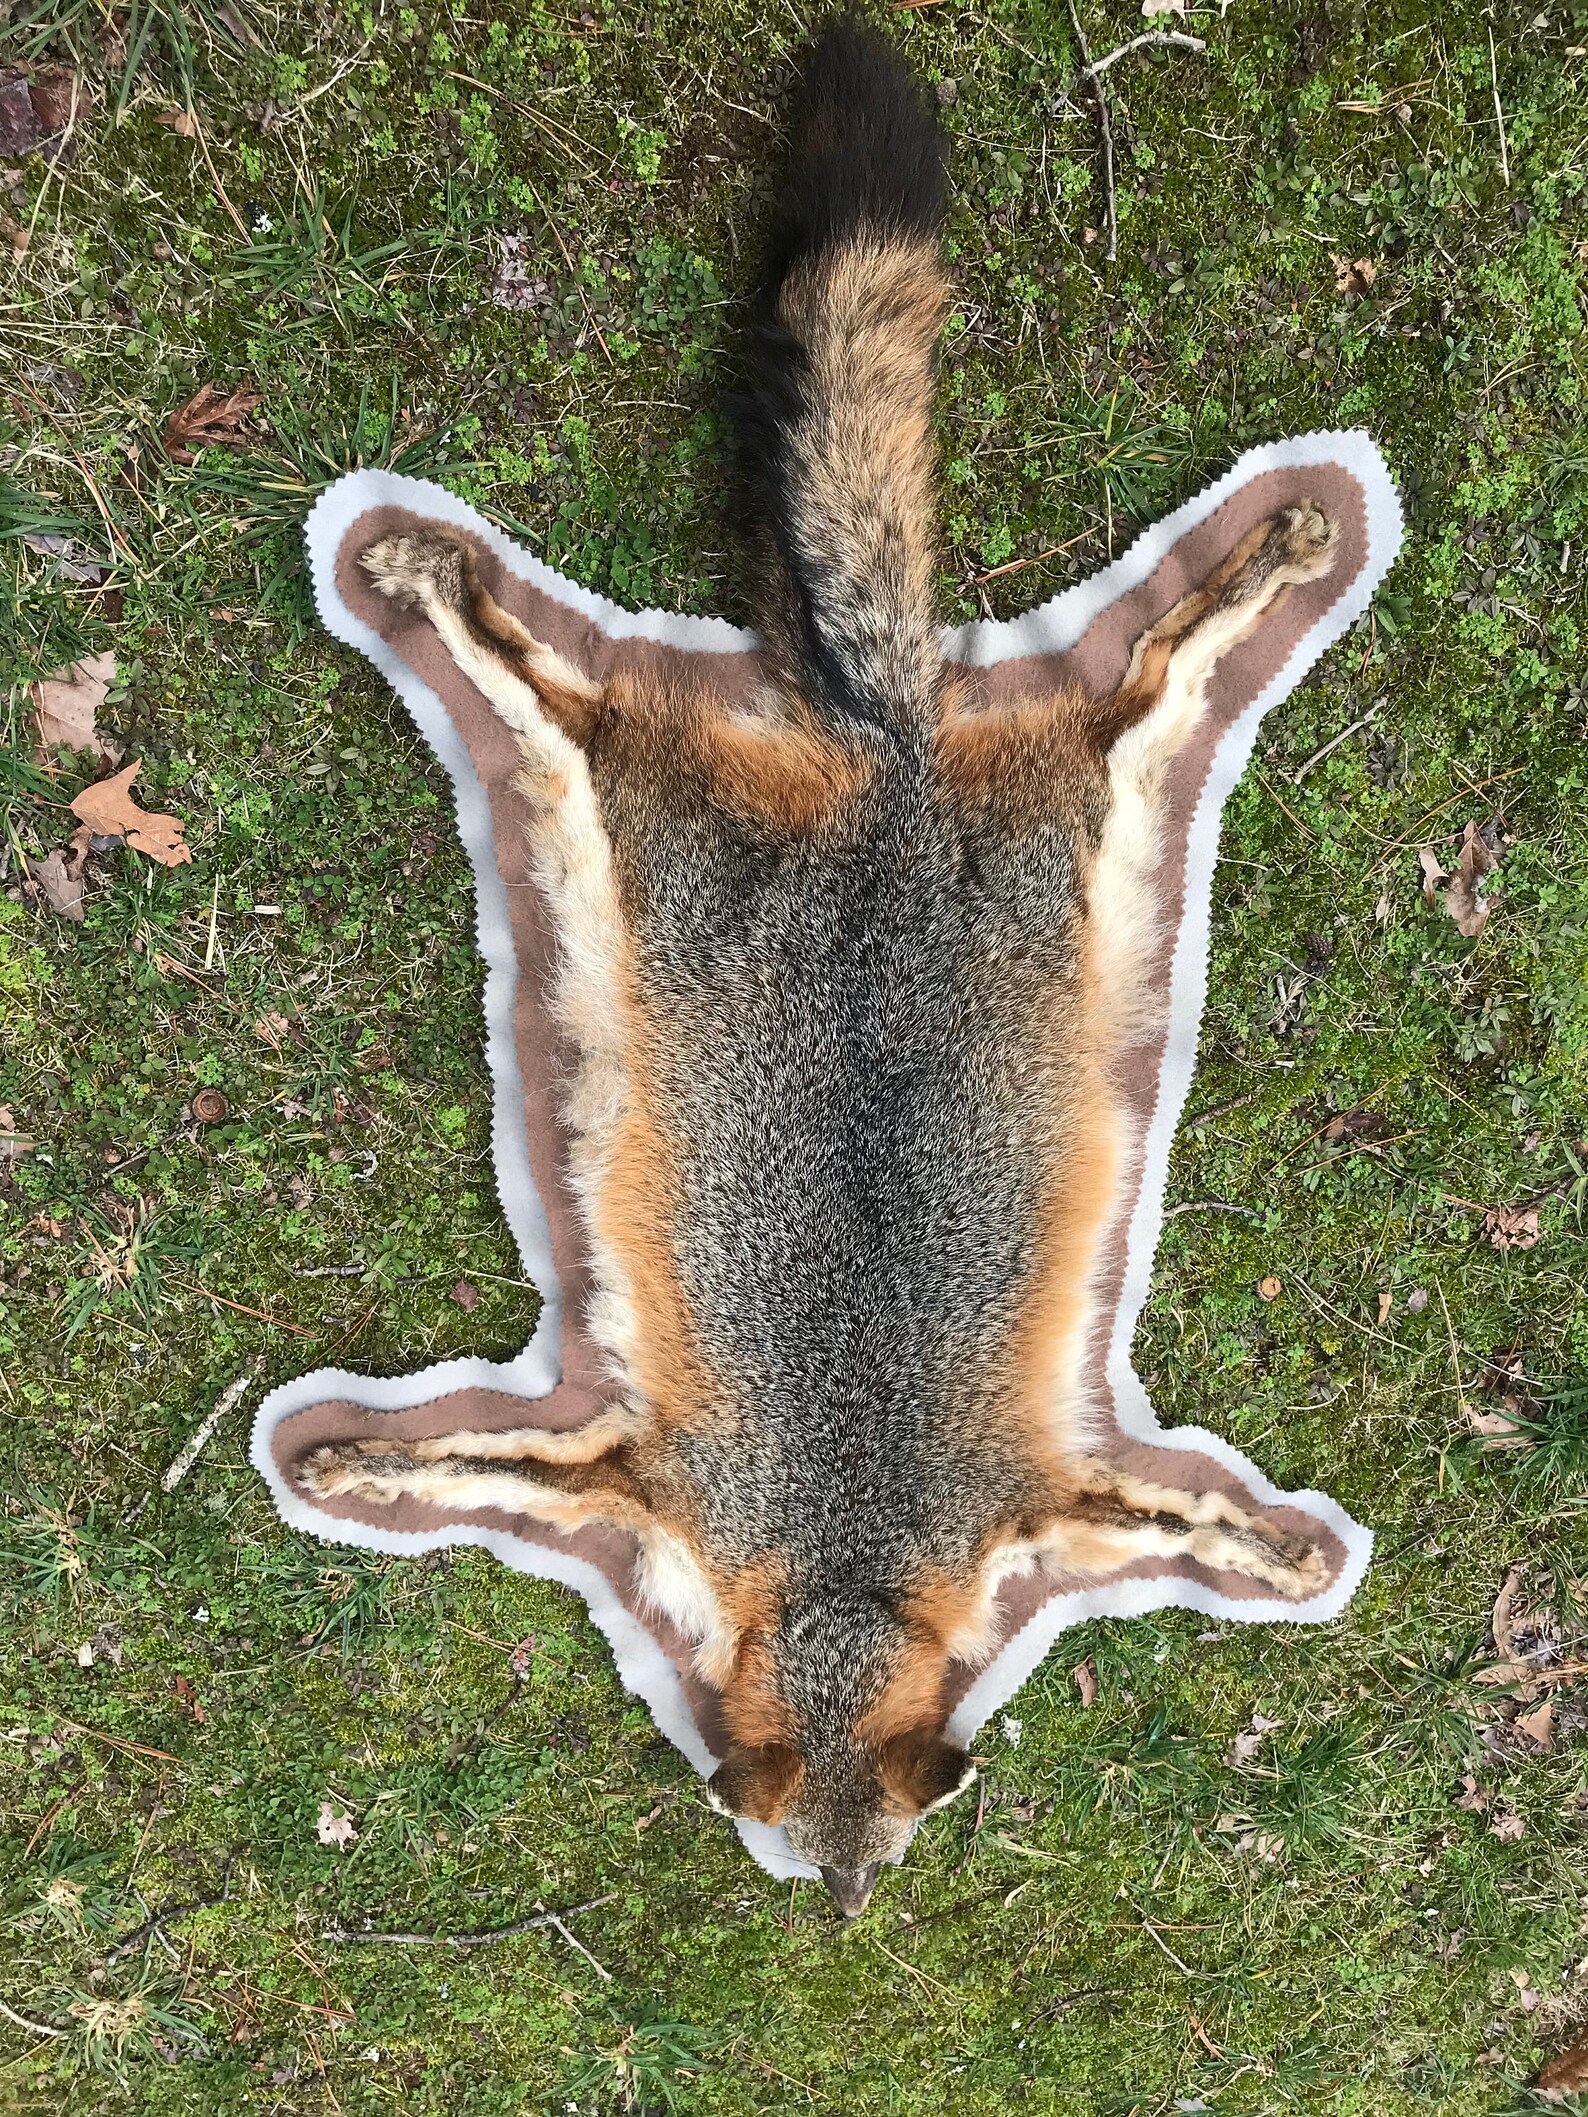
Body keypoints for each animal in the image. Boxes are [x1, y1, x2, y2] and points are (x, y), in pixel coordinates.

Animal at [299, 20, 1339, 1917]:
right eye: (789, 1843)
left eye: (888, 1841)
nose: (846, 1923)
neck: (847, 1550)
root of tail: (889, 756)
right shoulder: (655, 1476)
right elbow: (466, 1451)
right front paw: (346, 1452)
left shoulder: (1031, 1496)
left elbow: (1189, 1512)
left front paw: (1273, 1551)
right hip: (686, 823)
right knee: (578, 687)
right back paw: (425, 566)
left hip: (1027, 811)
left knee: (1148, 664)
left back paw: (1284, 549)